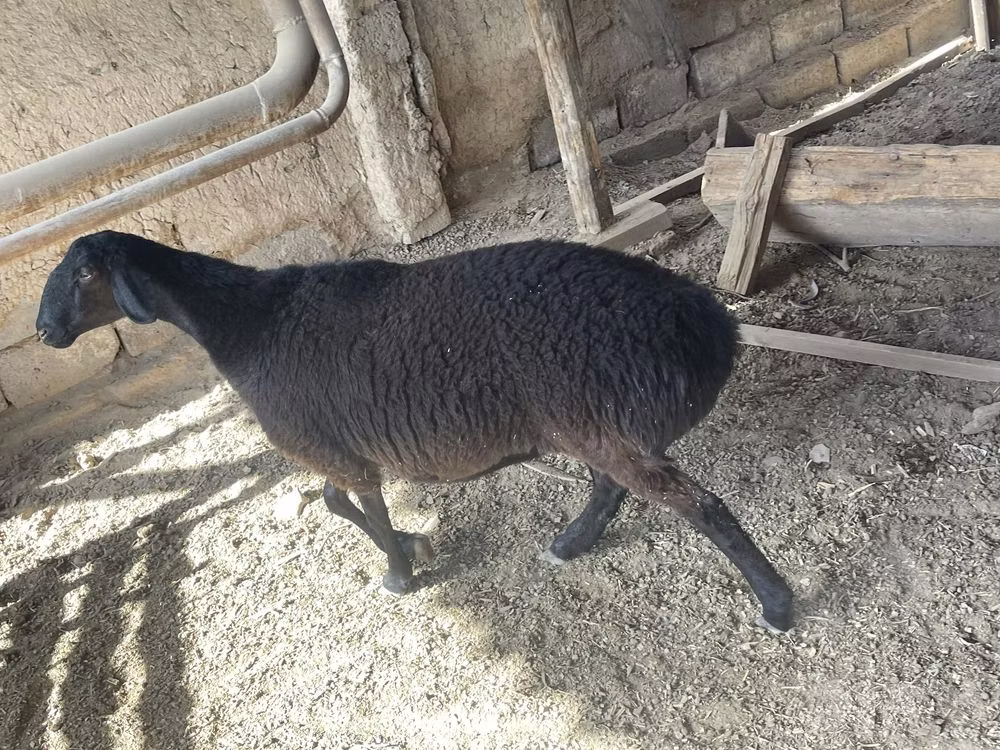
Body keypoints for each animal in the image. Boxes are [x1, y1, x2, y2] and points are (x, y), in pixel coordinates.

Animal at [36, 230, 793, 632]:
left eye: (85, 272)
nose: (43, 332)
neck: (246, 323)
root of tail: (709, 326)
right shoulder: (337, 451)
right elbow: (335, 503)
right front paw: (414, 544)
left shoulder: (332, 449)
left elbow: (354, 503)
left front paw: (399, 574)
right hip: (591, 422)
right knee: (613, 487)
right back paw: (571, 543)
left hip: (600, 419)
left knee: (701, 506)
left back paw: (777, 604)